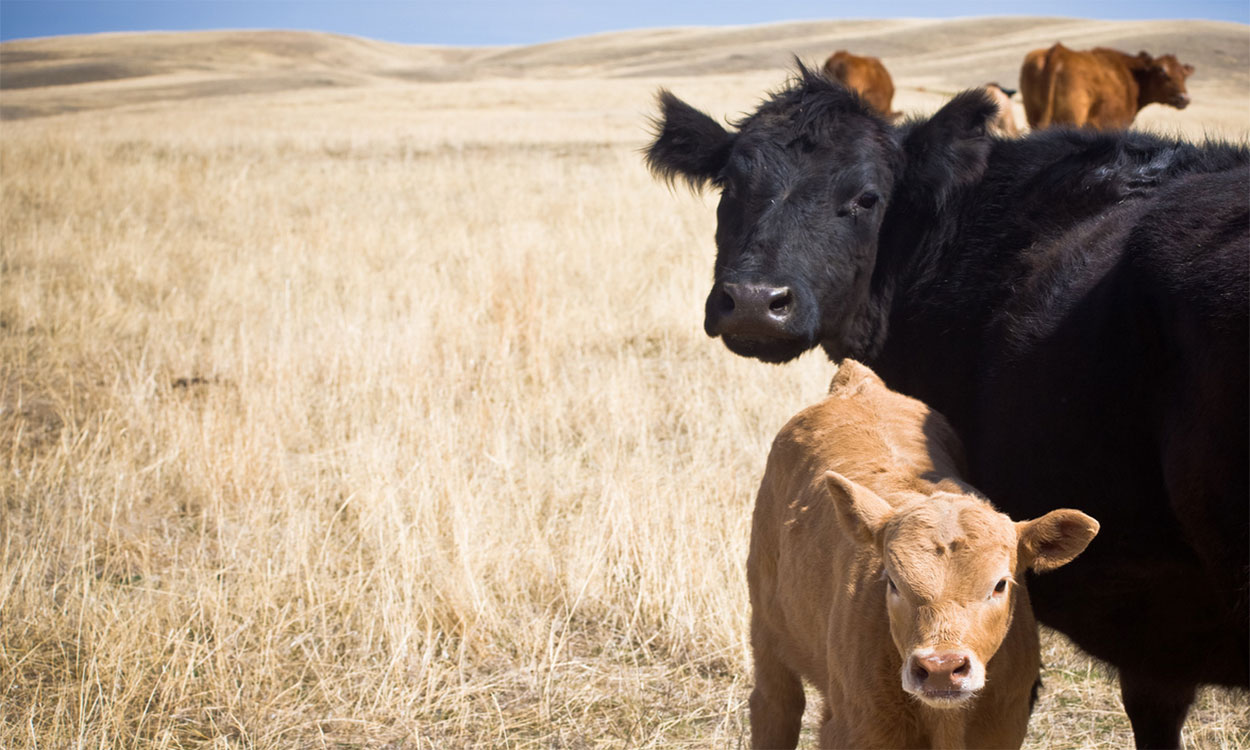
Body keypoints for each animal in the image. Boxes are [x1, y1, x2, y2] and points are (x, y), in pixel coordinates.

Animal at [740, 360, 1095, 745]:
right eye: (893, 583)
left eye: (1000, 584)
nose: (941, 668)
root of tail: (858, 383)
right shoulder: (854, 727)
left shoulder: (1003, 725)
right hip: (766, 627)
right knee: (775, 705)